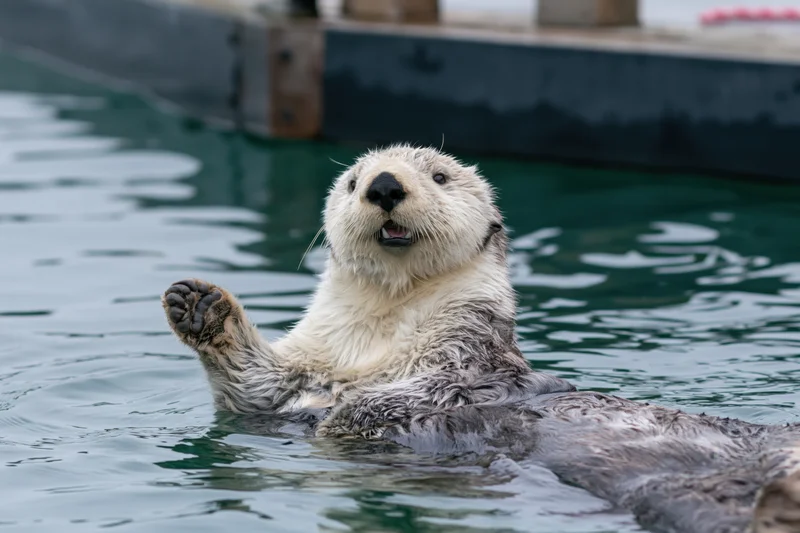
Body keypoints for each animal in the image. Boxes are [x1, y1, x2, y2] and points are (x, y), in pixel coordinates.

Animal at [162, 145, 800, 533]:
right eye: (352, 182)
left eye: (440, 177)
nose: (385, 186)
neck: (385, 320)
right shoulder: (299, 374)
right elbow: (257, 390)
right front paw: (200, 305)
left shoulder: (468, 358)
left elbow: (415, 397)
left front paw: (348, 413)